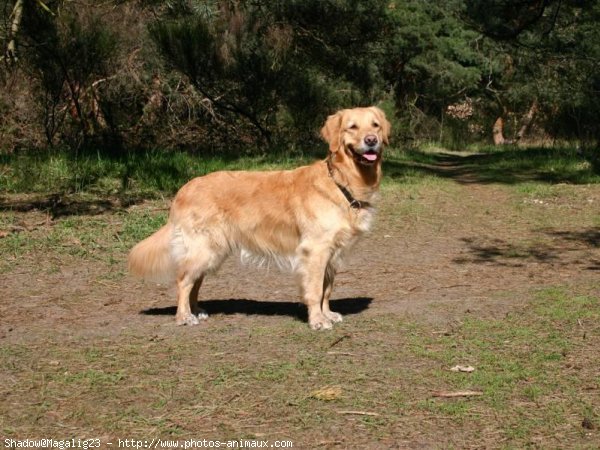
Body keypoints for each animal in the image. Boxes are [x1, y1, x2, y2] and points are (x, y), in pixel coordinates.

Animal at [129, 107, 392, 328]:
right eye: (352, 127)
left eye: (375, 125)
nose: (372, 140)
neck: (340, 181)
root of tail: (184, 188)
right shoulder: (316, 250)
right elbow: (316, 289)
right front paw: (317, 320)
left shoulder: (333, 253)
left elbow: (327, 290)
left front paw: (327, 314)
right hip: (204, 249)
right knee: (183, 280)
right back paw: (184, 316)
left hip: (212, 251)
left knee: (195, 281)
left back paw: (197, 310)